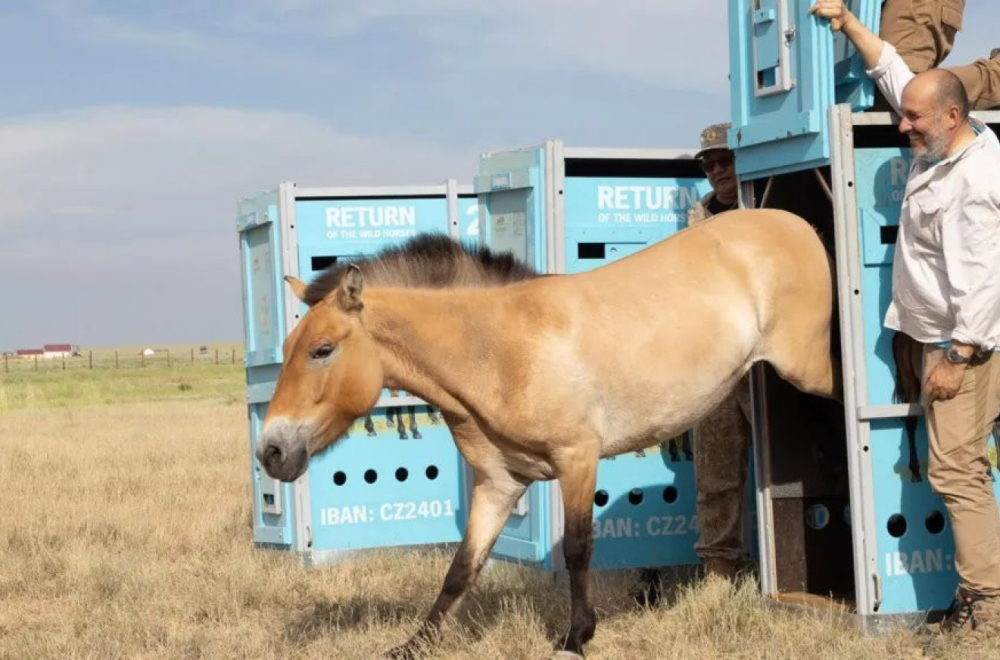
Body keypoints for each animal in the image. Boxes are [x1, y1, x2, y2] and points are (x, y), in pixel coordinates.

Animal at [254, 210, 840, 656]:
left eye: (322, 349)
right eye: (288, 348)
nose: (271, 451)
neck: (499, 350)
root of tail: (795, 225)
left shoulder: (577, 458)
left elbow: (578, 548)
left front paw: (576, 637)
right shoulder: (499, 485)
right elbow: (462, 567)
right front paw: (414, 644)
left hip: (810, 369)